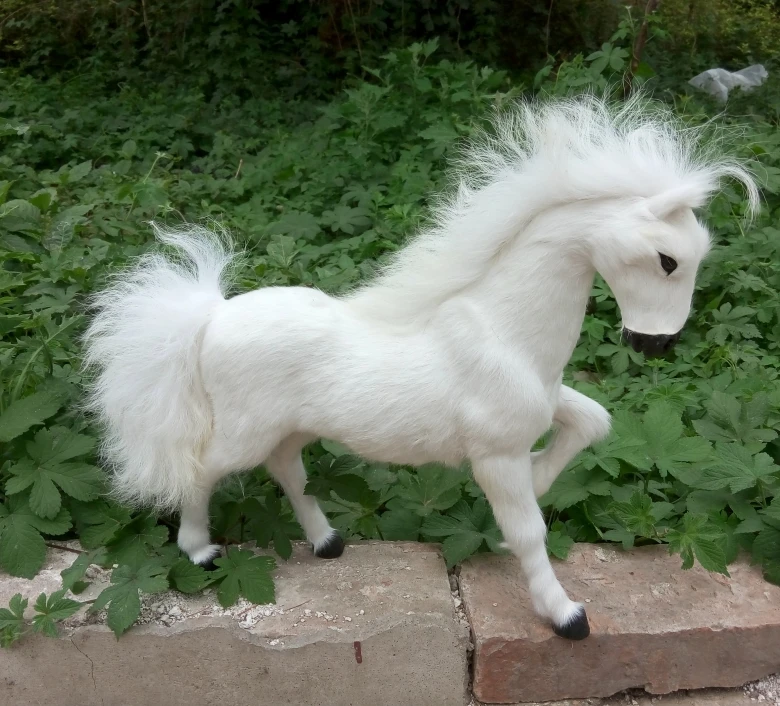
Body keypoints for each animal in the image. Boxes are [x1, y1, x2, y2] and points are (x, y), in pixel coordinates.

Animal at [83, 94, 758, 640]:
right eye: (668, 260)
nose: (655, 346)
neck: (505, 331)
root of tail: (211, 318)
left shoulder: (547, 402)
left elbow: (594, 421)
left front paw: (540, 484)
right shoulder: (495, 455)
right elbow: (529, 532)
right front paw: (566, 615)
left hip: (289, 428)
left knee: (289, 471)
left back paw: (327, 543)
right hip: (244, 432)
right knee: (200, 469)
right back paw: (201, 552)